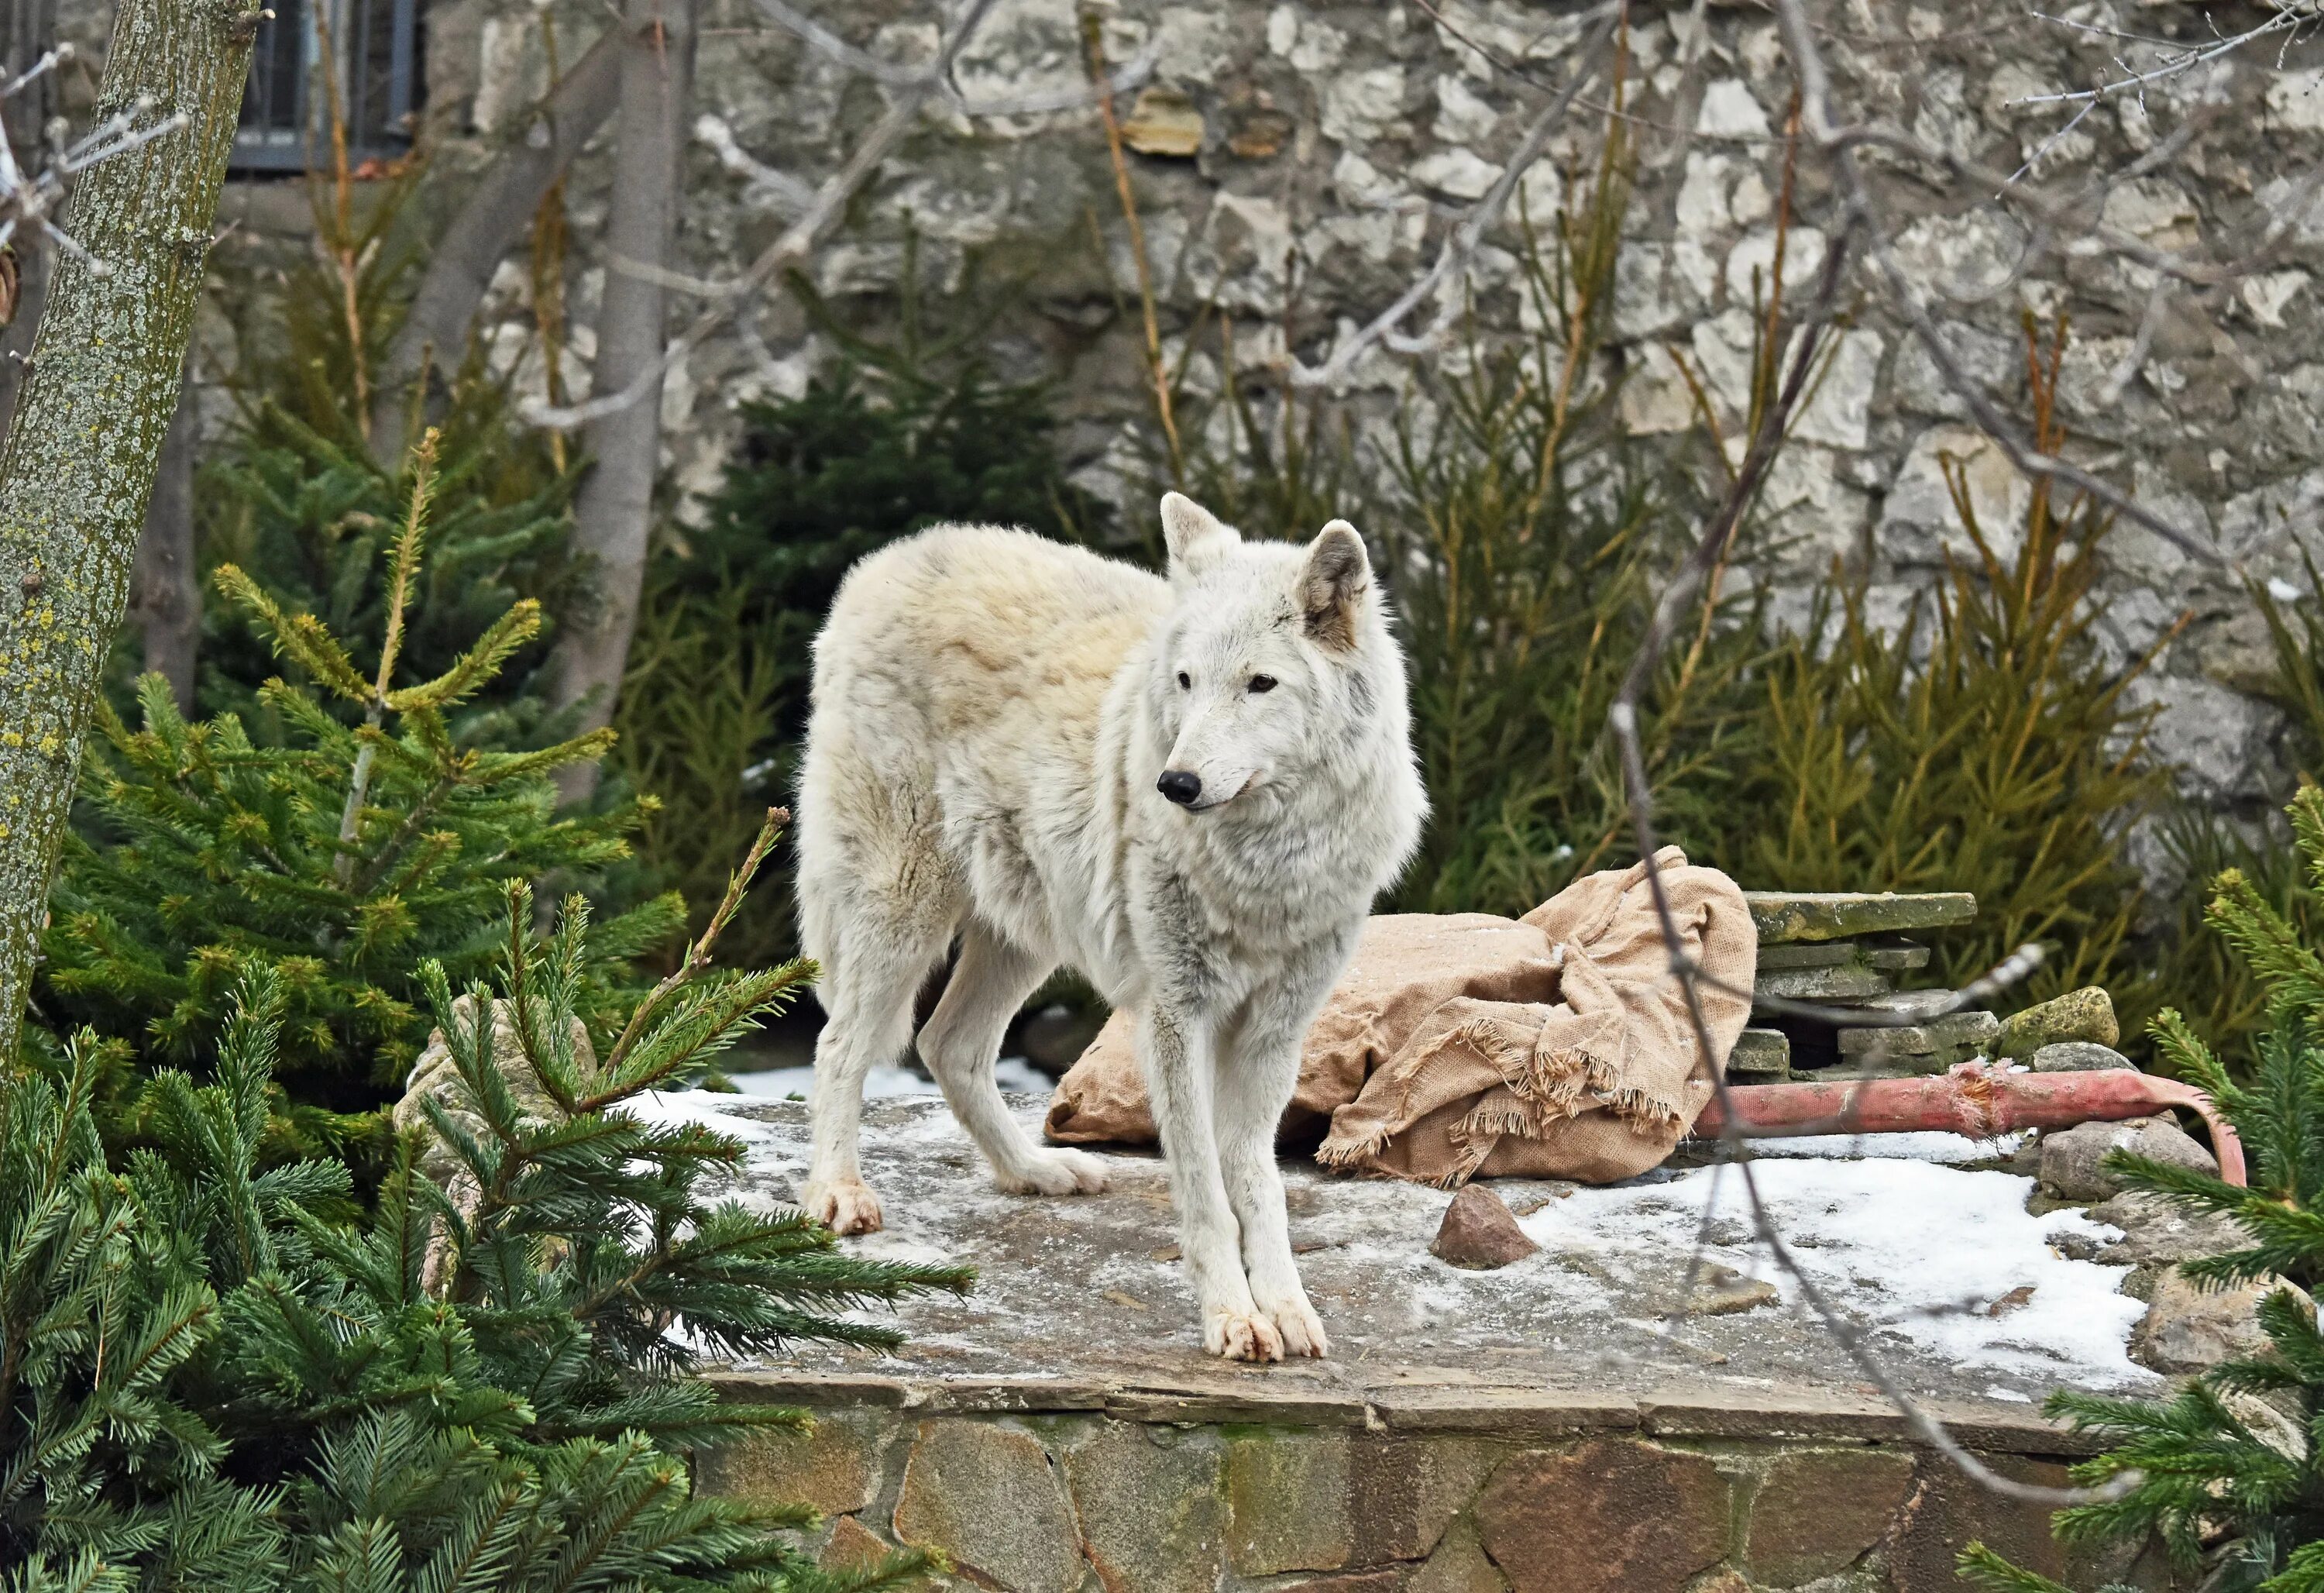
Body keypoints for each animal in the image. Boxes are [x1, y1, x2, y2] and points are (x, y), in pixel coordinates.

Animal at [795, 493, 1413, 1357]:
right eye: (1186, 681)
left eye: (1260, 684)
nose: (1175, 784)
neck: (1263, 865)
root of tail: (887, 560)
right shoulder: (1175, 1015)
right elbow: (1206, 1192)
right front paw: (1233, 1317)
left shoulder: (1275, 1032)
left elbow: (1259, 1187)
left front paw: (1287, 1307)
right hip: (903, 910)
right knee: (841, 1045)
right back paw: (838, 1193)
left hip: (1026, 934)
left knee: (946, 1045)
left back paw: (1035, 1171)